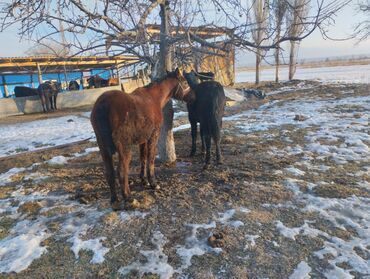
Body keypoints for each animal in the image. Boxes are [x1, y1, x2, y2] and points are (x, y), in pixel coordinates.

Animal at [90, 68, 191, 203]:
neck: (154, 98)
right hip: (124, 149)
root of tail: (102, 106)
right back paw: (128, 197)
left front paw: (144, 180)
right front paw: (153, 183)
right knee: (121, 171)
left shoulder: (143, 139)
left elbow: (143, 158)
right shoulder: (153, 136)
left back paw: (114, 200)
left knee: (109, 173)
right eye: (185, 82)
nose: (193, 97)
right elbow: (150, 158)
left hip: (104, 149)